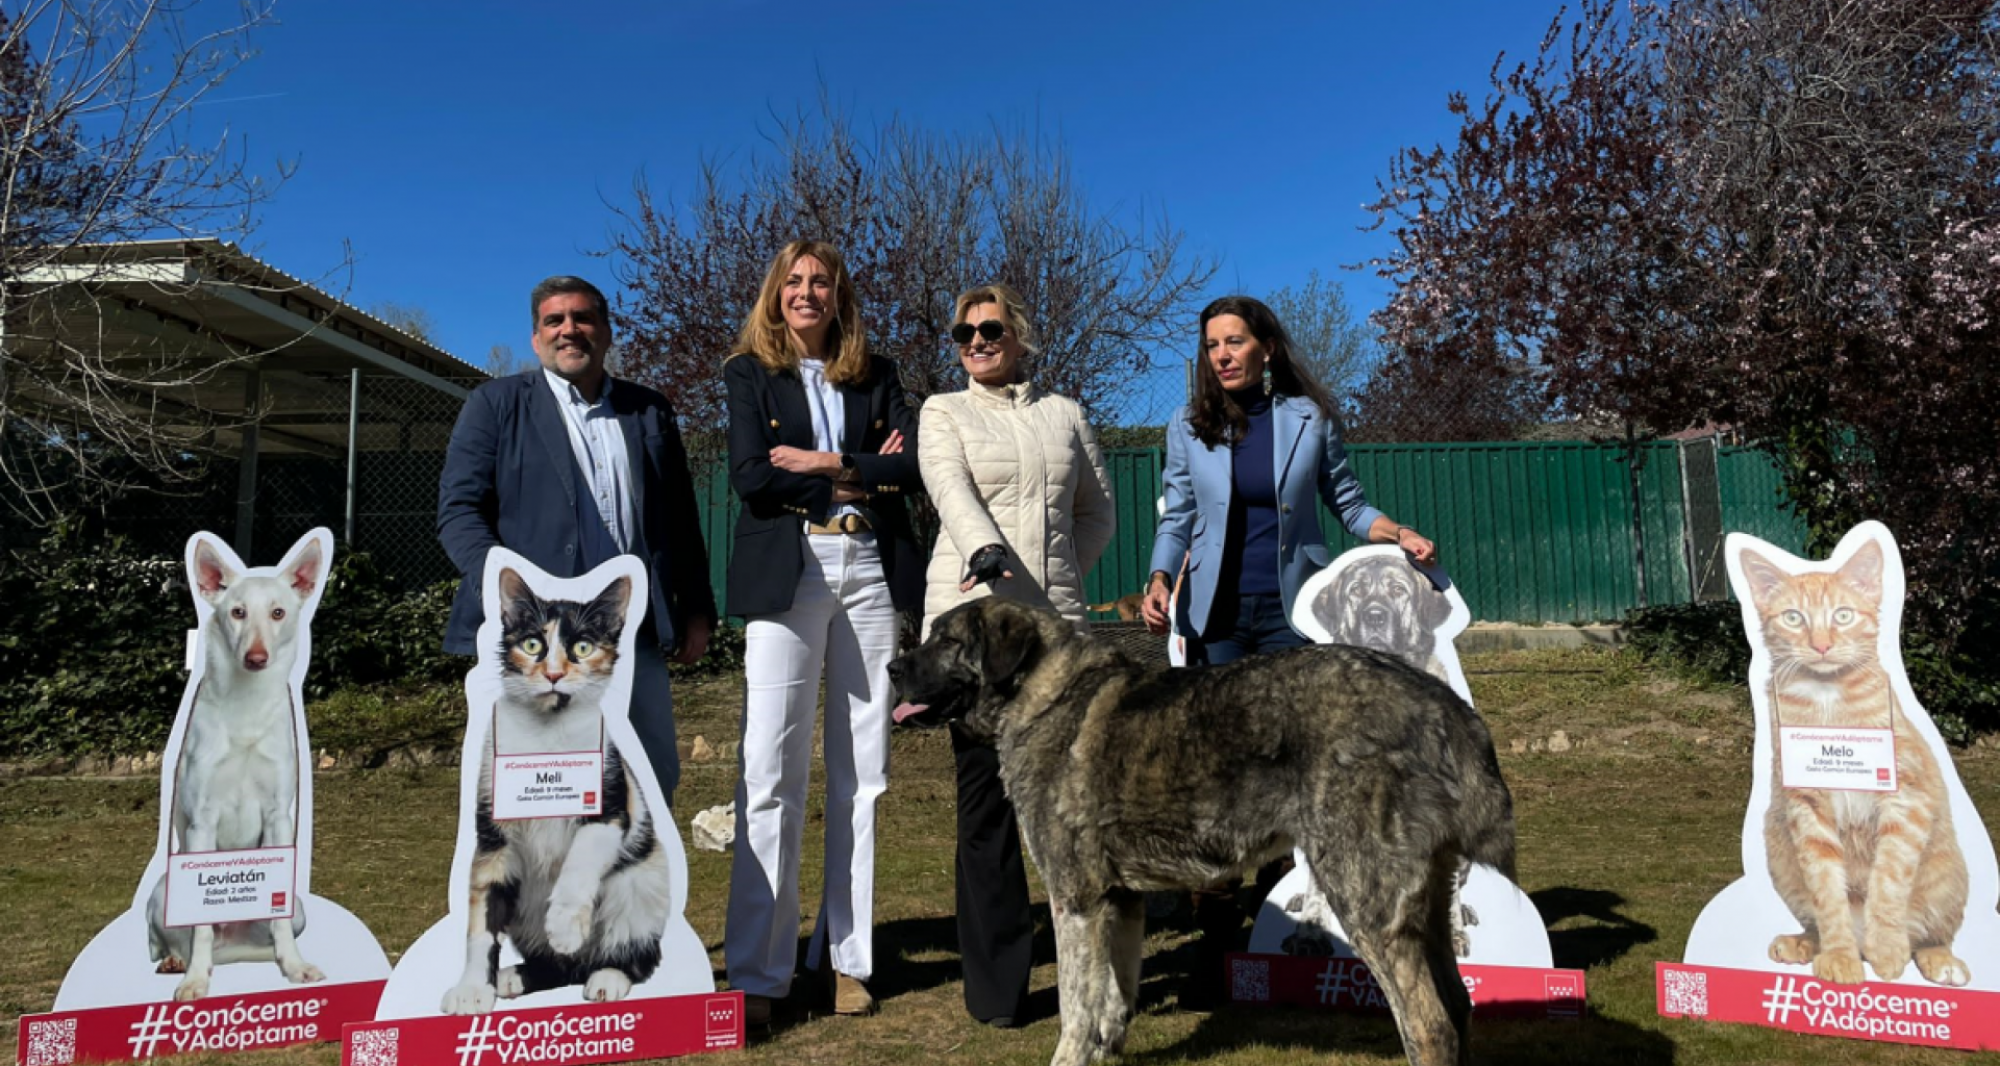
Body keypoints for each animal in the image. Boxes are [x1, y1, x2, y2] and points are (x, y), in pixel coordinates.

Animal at [892, 600, 1512, 1064]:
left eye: (946, 640)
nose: (895, 668)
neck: (1038, 693)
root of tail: (1445, 708)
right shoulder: (1121, 899)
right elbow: (1114, 997)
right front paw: (1108, 1048)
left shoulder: (1076, 899)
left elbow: (1076, 1007)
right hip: (1426, 905)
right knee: (1458, 1007)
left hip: (1365, 903)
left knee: (1430, 1026)